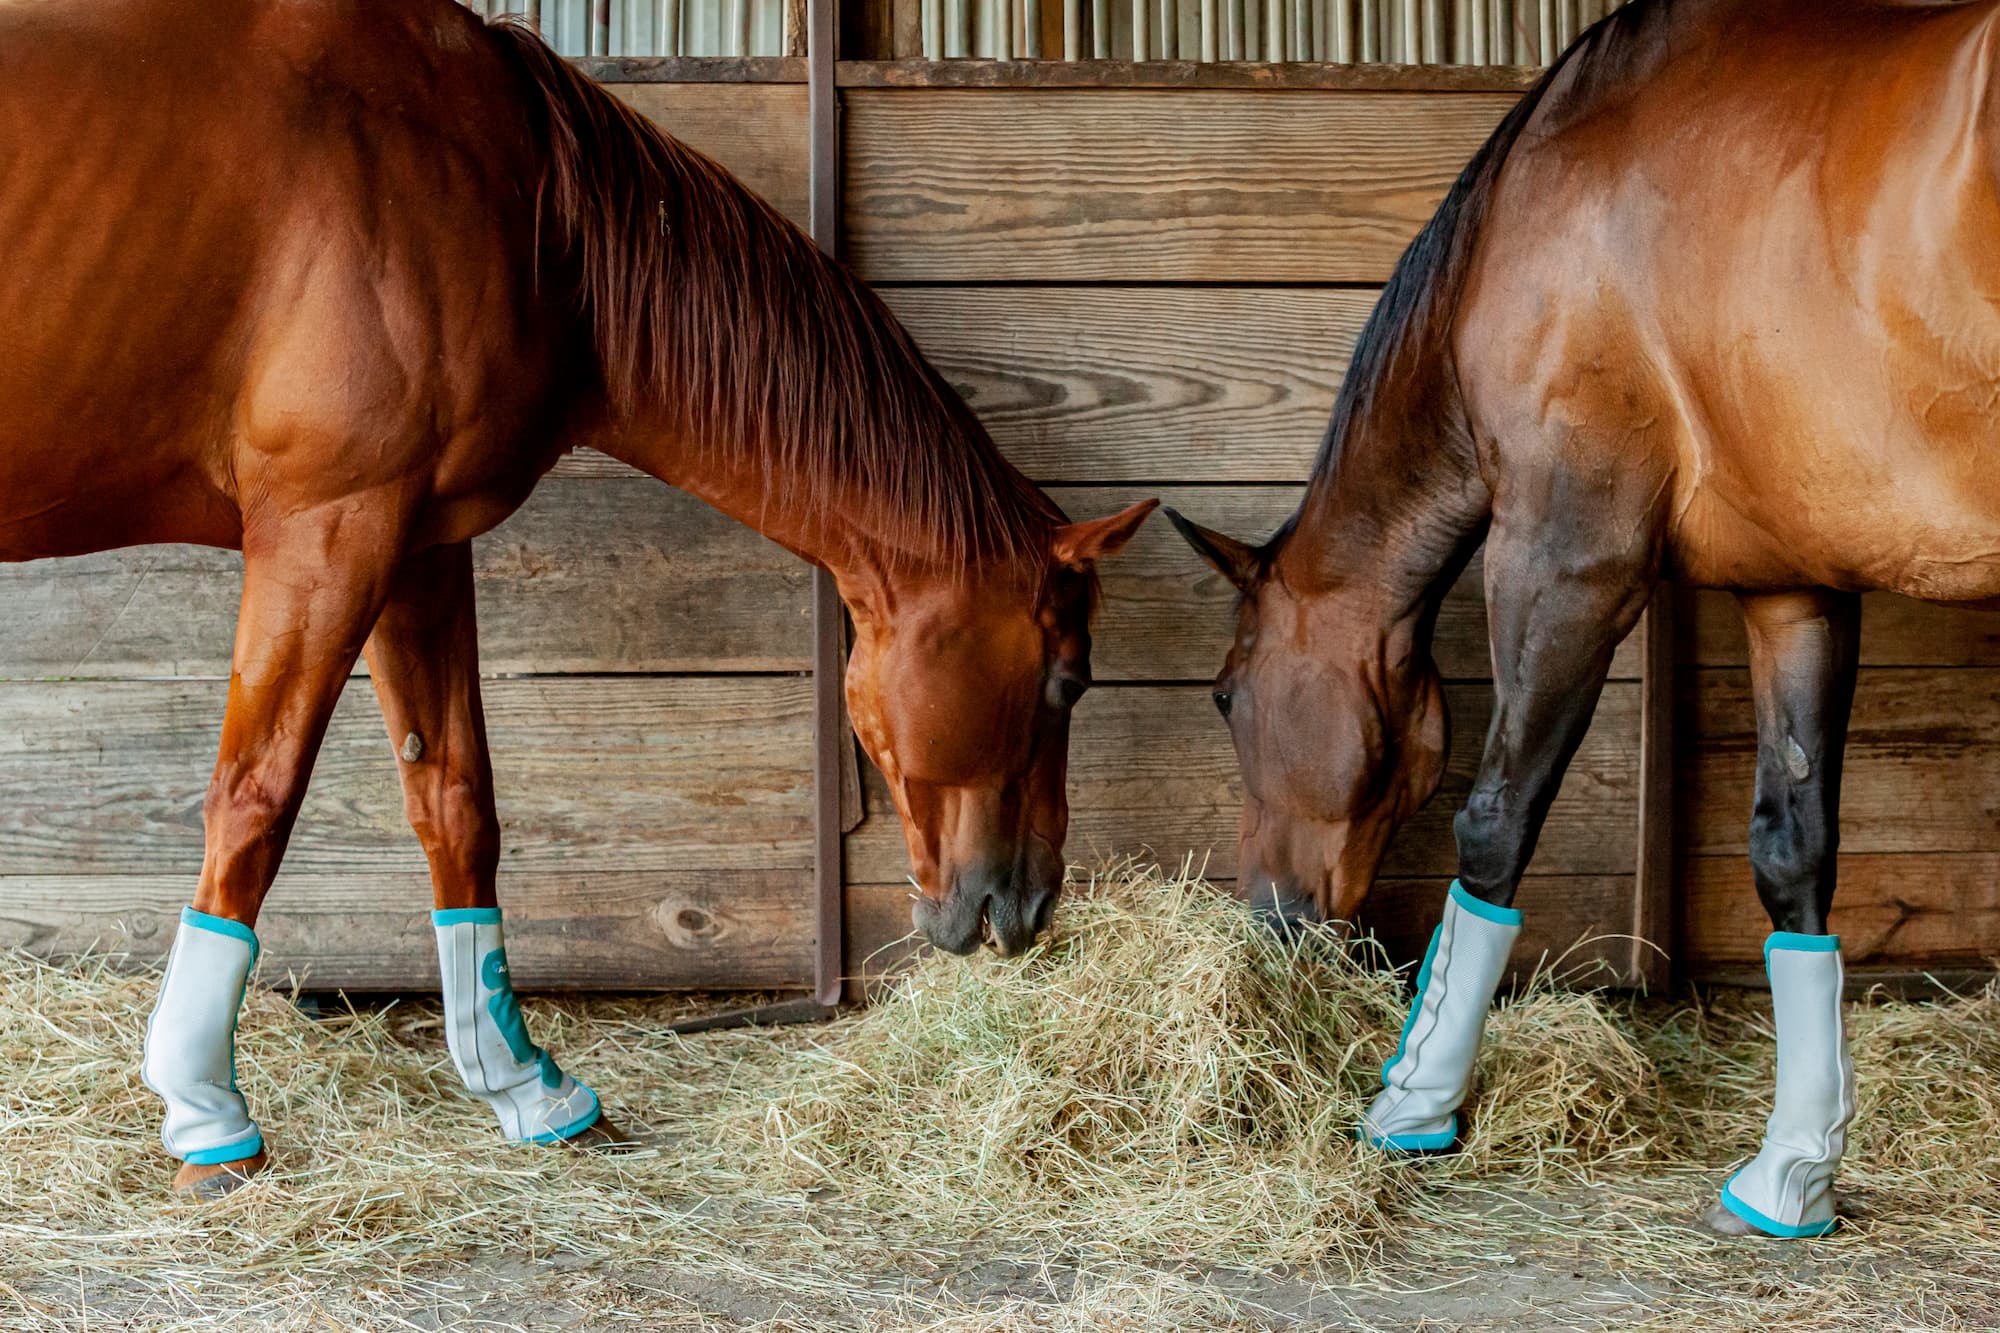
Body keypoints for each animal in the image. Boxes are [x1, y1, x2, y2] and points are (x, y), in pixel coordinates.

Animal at [0, 0, 1154, 1196]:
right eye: (1067, 683)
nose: (1028, 906)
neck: (515, 201)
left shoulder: (415, 541)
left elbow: (455, 802)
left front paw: (521, 1083)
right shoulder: (326, 531)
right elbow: (254, 800)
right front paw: (204, 1109)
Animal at [1165, 0, 1999, 1239]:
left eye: (1223, 695)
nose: (1270, 921)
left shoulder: (1564, 560)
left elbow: (1494, 823)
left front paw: (1414, 1101)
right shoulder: (1790, 585)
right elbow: (1792, 848)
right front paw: (1790, 1170)